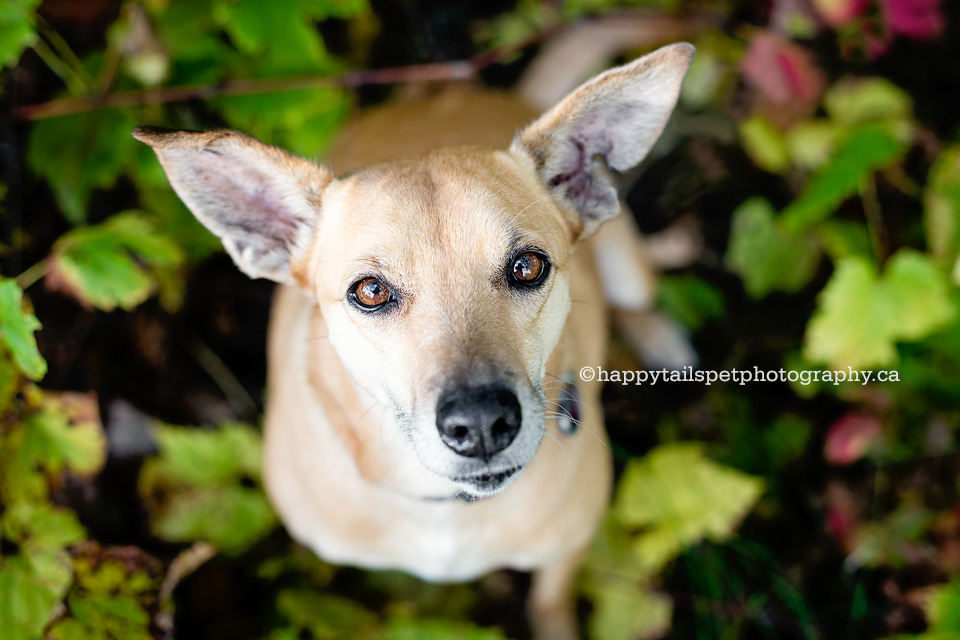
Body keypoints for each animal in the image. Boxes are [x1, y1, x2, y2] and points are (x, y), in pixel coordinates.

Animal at [133, 41, 688, 640]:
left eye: (527, 266)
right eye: (370, 291)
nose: (482, 424)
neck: (440, 506)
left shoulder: (567, 547)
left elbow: (550, 601)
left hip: (629, 266)